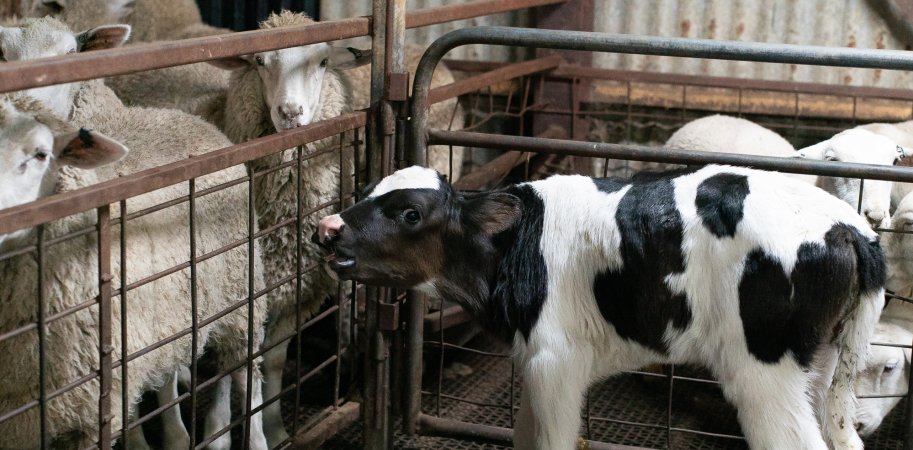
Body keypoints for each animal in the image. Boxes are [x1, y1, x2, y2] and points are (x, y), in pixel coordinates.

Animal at [314, 165, 884, 450]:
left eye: (410, 213)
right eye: (365, 189)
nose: (326, 228)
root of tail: (848, 227)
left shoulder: (555, 360)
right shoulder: (539, 360)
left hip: (764, 369)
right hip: (823, 365)